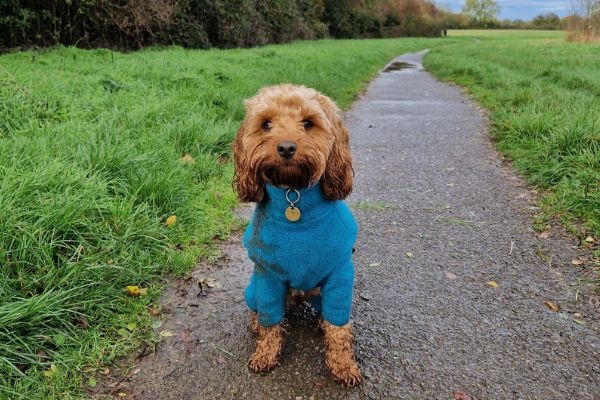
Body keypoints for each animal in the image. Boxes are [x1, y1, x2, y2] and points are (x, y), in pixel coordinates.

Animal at [232, 84, 358, 388]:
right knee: (261, 310)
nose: (286, 147)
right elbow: (270, 320)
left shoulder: (341, 275)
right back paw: (255, 322)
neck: (294, 194)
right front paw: (266, 353)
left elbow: (339, 326)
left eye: (308, 123)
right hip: (253, 288)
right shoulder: (267, 277)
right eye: (266, 124)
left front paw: (343, 365)